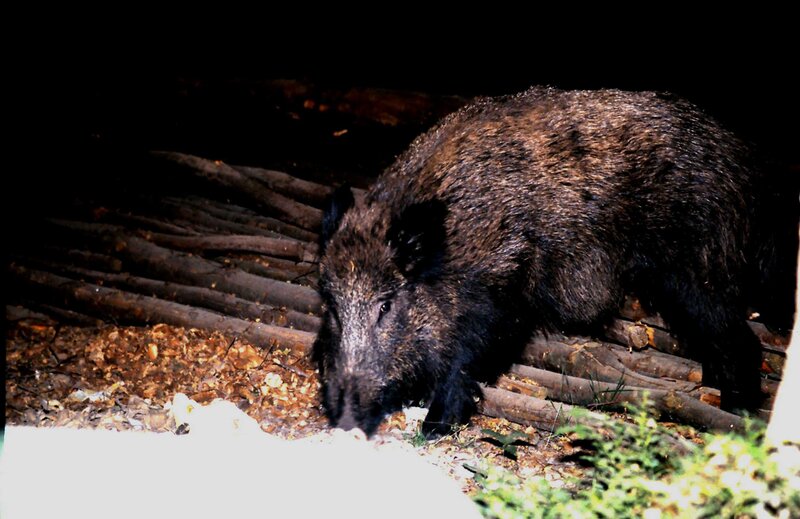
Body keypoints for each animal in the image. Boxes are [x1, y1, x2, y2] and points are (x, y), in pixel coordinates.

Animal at [313, 87, 796, 437]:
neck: (454, 246)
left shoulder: (501, 293)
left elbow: (464, 361)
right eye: (331, 306)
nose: (345, 419)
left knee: (740, 340)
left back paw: (735, 415)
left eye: (386, 304)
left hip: (697, 273)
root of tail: (746, 168)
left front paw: (434, 428)